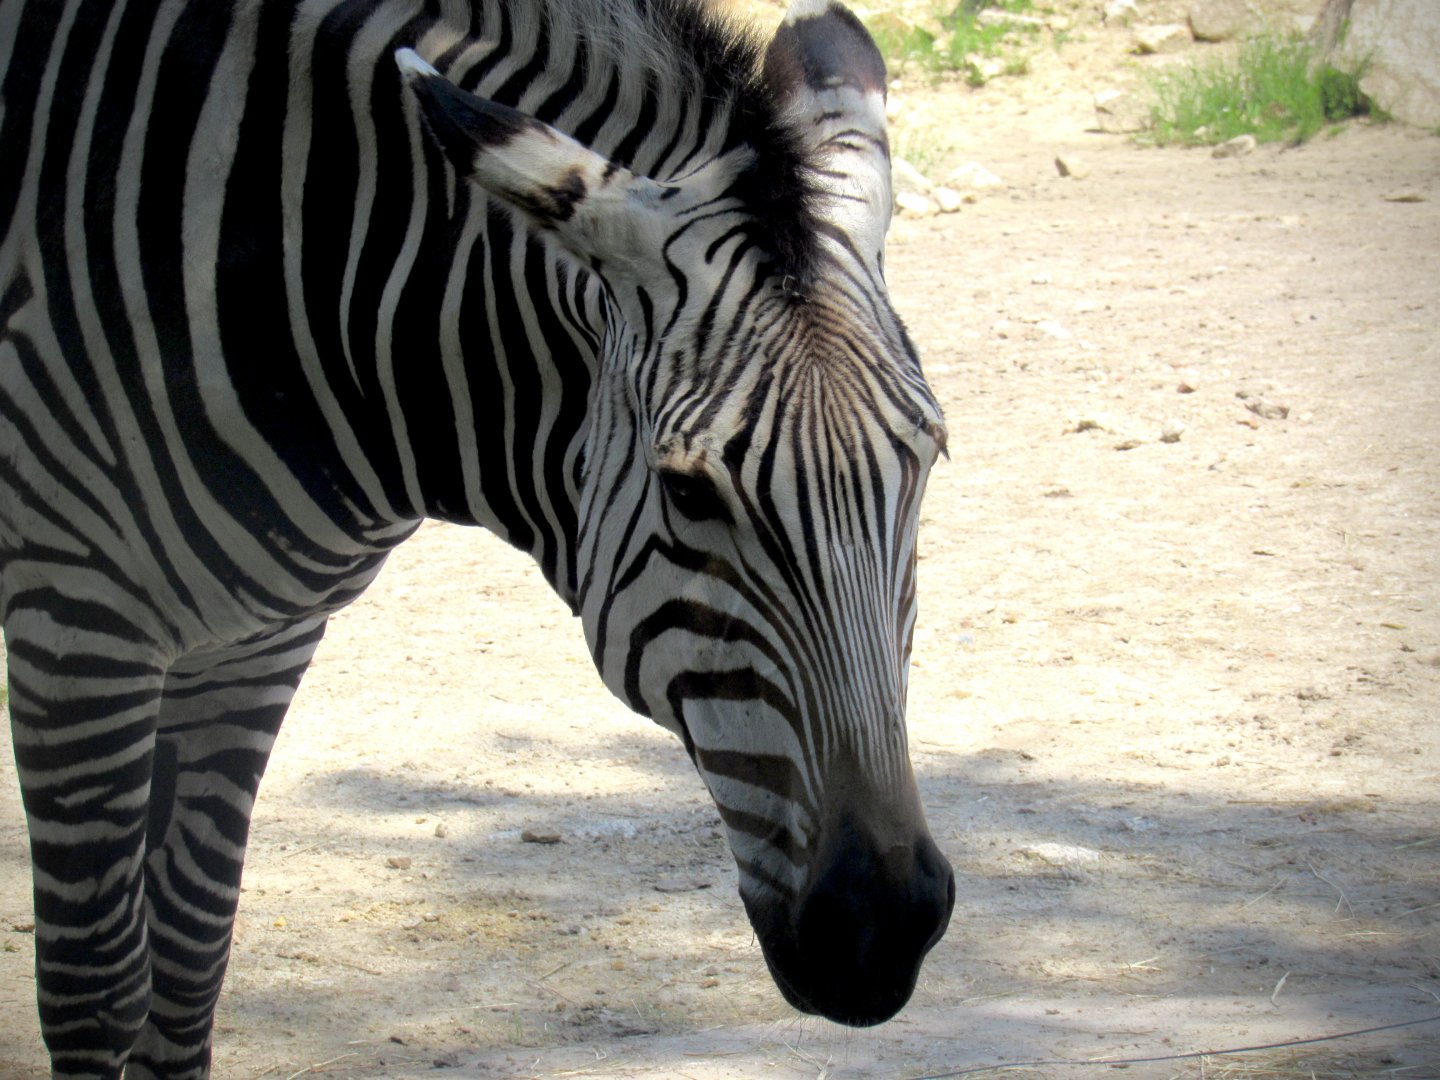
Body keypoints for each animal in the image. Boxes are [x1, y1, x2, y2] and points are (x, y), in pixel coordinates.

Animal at [0, 0, 955, 1075]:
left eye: (926, 461)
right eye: (687, 490)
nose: (884, 930)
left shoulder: (258, 641)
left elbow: (191, 950)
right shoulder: (78, 624)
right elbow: (95, 990)